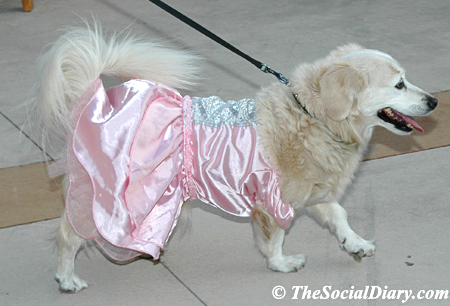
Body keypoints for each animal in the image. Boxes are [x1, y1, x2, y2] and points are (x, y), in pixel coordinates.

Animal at [33, 22, 438, 292]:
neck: (313, 115)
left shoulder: (312, 192)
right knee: (69, 235)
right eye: (399, 84)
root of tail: (93, 101)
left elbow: (338, 214)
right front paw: (281, 264)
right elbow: (276, 238)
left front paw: (353, 242)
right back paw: (67, 278)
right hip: (106, 199)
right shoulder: (274, 201)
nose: (434, 101)